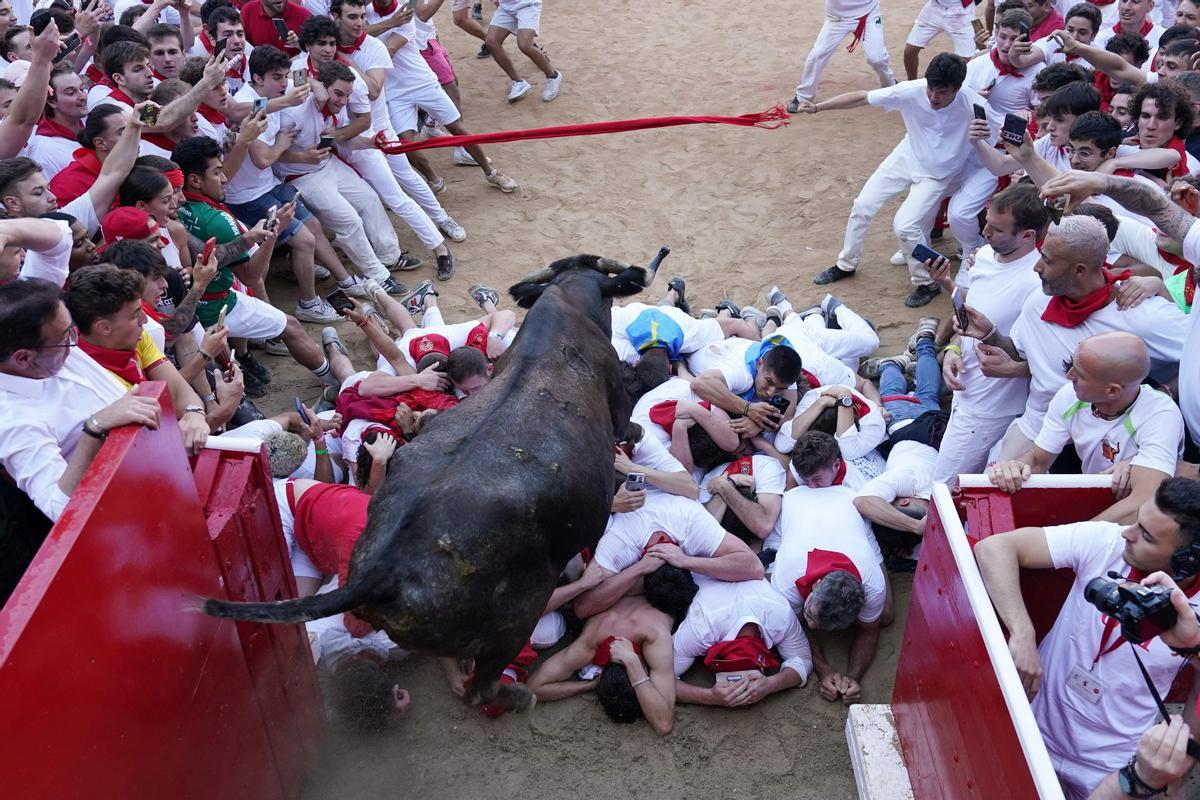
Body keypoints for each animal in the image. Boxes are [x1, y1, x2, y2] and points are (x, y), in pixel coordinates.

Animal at [199, 250, 667, 714]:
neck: (565, 307)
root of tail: (383, 571)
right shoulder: (619, 411)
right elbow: (630, 428)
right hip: (517, 619)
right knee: (484, 686)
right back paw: (522, 696)